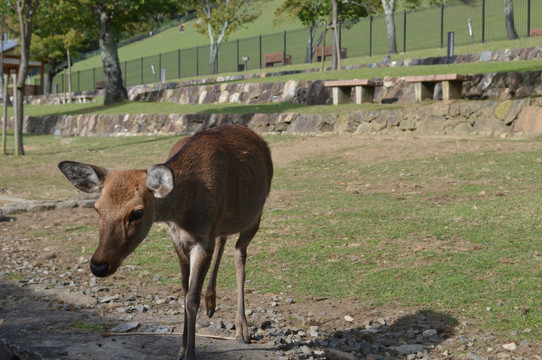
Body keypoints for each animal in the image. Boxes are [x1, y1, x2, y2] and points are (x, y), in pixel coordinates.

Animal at [57, 124, 274, 360]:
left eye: (137, 212)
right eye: (97, 208)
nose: (99, 265)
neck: (184, 212)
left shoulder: (203, 240)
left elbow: (191, 299)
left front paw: (190, 354)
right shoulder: (177, 238)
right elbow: (184, 290)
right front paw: (181, 350)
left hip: (256, 214)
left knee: (239, 253)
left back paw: (242, 329)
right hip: (225, 221)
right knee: (223, 239)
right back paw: (211, 303)